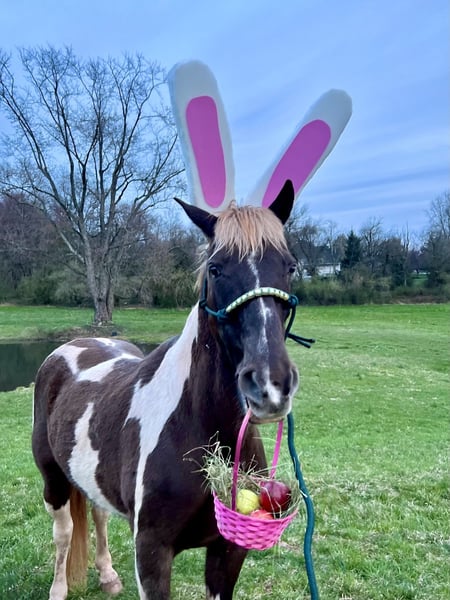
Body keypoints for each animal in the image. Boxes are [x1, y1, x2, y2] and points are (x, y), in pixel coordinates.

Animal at [32, 180, 300, 600]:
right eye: (215, 269)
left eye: (289, 265)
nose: (270, 385)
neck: (196, 423)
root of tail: (71, 347)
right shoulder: (152, 551)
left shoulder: (228, 550)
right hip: (53, 481)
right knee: (64, 532)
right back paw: (59, 588)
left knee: (98, 515)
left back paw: (107, 576)